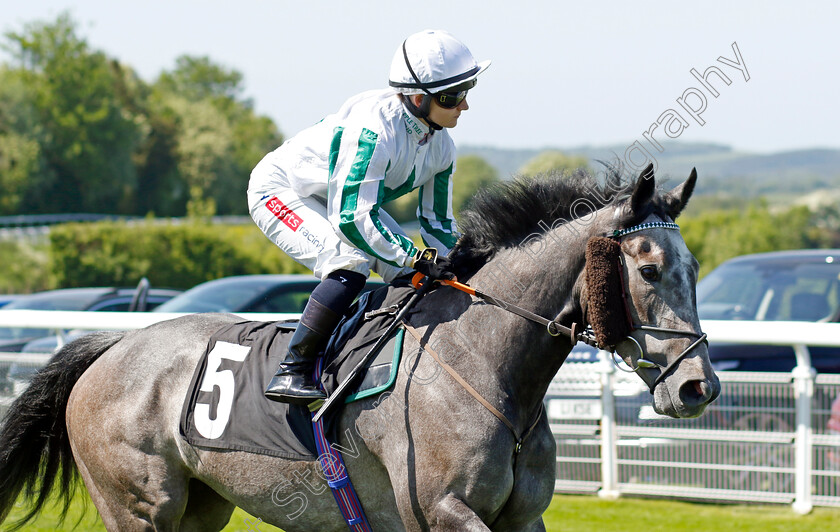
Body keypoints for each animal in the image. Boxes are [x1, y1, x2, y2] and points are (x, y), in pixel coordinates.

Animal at [0, 164, 720, 528]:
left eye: (694, 267)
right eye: (649, 269)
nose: (698, 387)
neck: (487, 363)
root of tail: (109, 350)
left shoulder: (521, 520)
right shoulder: (439, 512)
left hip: (200, 509)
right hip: (138, 507)